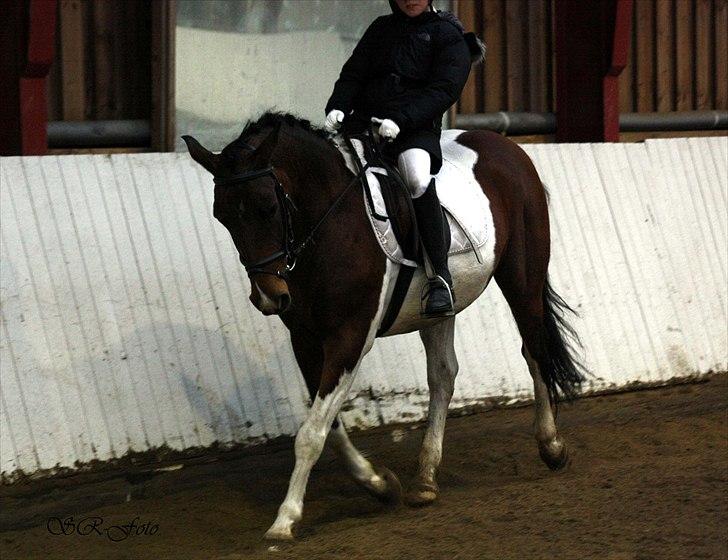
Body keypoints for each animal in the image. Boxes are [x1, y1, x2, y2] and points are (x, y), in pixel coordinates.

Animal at [182, 110, 584, 544]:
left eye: (268, 207)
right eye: (222, 216)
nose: (269, 297)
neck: (328, 221)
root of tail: (507, 146)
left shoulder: (350, 337)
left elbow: (311, 432)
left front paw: (285, 519)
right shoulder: (305, 340)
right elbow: (329, 426)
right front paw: (379, 483)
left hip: (522, 277)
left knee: (534, 350)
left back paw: (551, 446)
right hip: (439, 310)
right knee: (443, 376)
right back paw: (425, 479)